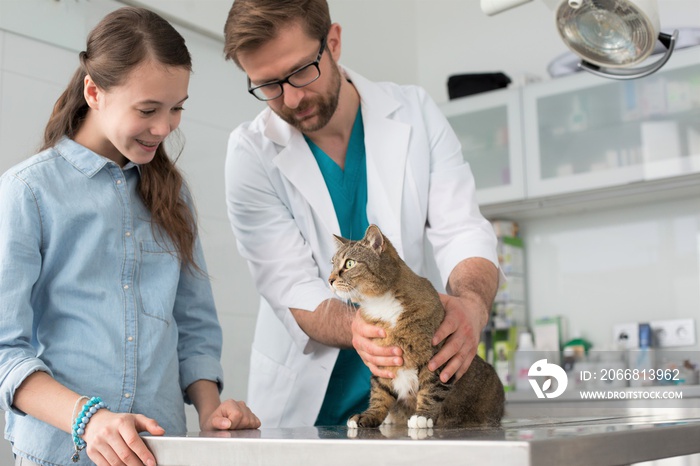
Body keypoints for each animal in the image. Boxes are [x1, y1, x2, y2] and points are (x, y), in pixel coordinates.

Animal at [328, 225, 504, 430]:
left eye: (349, 263)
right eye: (332, 263)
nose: (330, 279)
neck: (381, 305)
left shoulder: (436, 358)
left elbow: (432, 388)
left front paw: (422, 416)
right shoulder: (382, 360)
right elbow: (380, 392)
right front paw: (369, 415)